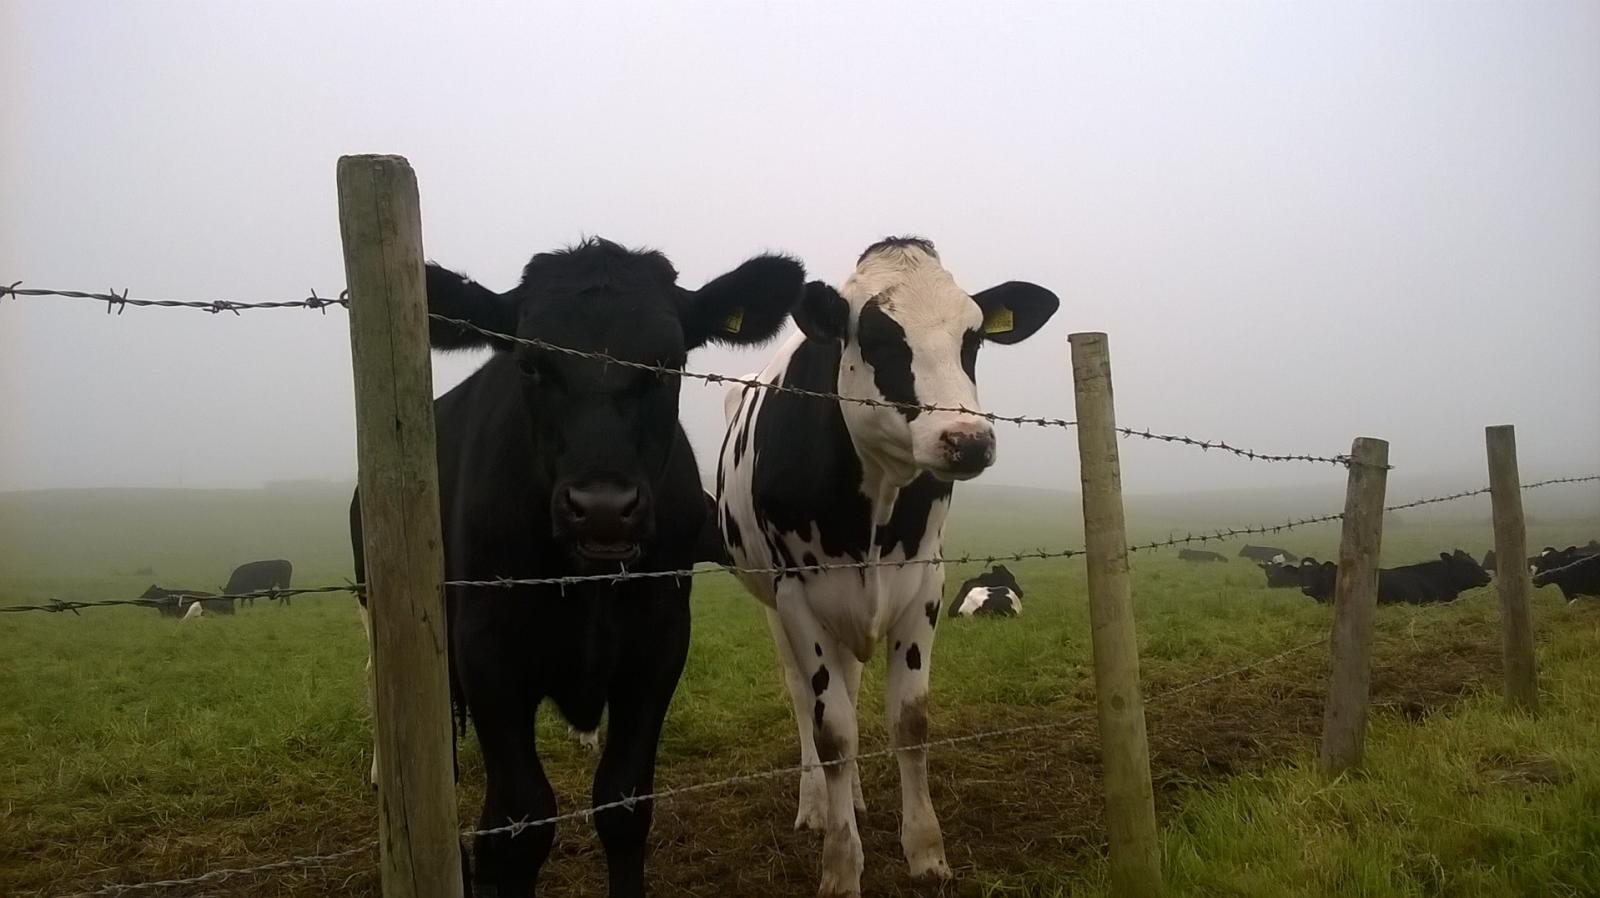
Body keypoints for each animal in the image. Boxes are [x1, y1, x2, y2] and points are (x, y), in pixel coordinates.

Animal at [350, 238, 800, 896]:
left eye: (667, 362)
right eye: (531, 364)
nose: (604, 509)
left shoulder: (659, 643)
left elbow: (624, 802)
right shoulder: (487, 651)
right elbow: (521, 819)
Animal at [720, 235, 1056, 889]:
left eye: (973, 339)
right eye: (876, 337)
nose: (968, 441)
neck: (875, 497)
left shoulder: (924, 584)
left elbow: (909, 723)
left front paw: (926, 853)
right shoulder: (799, 594)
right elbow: (831, 732)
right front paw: (840, 867)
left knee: (847, 687)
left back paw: (850, 801)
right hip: (774, 601)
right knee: (804, 697)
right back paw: (817, 808)